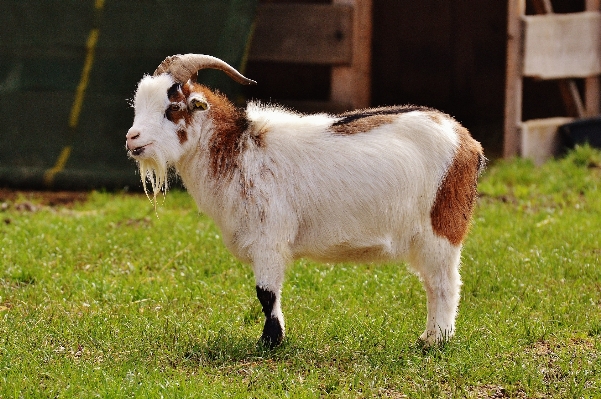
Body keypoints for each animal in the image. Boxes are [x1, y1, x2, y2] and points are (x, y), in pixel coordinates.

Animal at [125, 54, 482, 348]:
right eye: (138, 106)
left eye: (172, 108)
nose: (132, 138)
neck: (240, 149)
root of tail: (467, 142)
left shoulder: (269, 238)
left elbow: (266, 293)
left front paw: (270, 343)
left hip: (442, 228)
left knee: (444, 283)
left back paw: (435, 341)